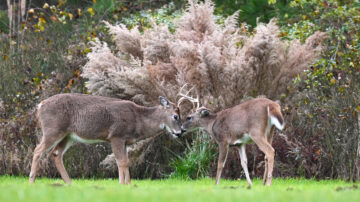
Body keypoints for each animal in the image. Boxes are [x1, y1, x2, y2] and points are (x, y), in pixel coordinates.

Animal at [29, 93, 183, 185]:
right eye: (175, 116)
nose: (180, 132)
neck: (138, 120)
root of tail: (40, 105)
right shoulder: (116, 136)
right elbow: (121, 162)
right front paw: (121, 184)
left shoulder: (125, 142)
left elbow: (127, 162)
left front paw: (129, 184)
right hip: (52, 129)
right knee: (37, 150)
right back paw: (31, 181)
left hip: (68, 135)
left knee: (56, 153)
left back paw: (69, 183)